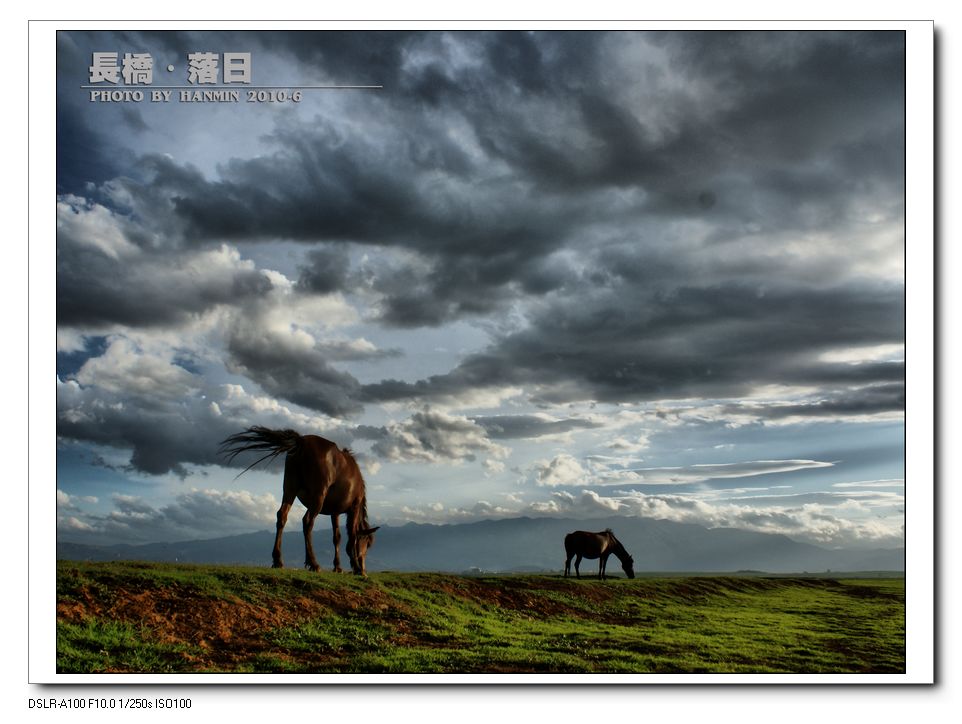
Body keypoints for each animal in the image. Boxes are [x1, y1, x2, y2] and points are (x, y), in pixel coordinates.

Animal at [220, 428, 378, 576]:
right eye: (367, 543)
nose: (364, 566)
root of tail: (301, 441)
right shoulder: (354, 506)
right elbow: (352, 535)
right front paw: (356, 568)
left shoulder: (335, 512)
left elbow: (336, 537)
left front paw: (338, 567)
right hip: (317, 497)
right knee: (307, 522)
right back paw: (313, 563)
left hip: (289, 489)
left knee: (282, 517)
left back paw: (278, 560)